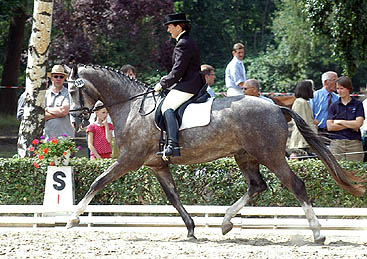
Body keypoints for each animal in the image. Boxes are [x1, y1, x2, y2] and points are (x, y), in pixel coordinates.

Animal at [65, 64, 366, 244]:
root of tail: (276, 107)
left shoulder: (128, 160)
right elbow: (173, 197)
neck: (133, 108)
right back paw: (225, 222)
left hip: (271, 156)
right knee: (257, 186)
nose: (75, 121)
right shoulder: (156, 165)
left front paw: (72, 219)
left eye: (72, 90)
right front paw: (190, 229)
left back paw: (317, 233)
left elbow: (97, 182)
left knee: (296, 185)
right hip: (245, 156)